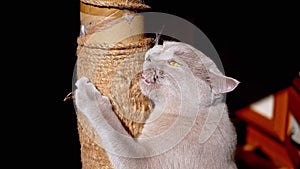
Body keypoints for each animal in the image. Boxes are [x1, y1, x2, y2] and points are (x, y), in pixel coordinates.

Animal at [74, 41, 239, 169]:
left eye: (173, 63)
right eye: (164, 45)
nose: (149, 55)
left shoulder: (146, 161)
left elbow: (113, 130)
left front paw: (86, 94)